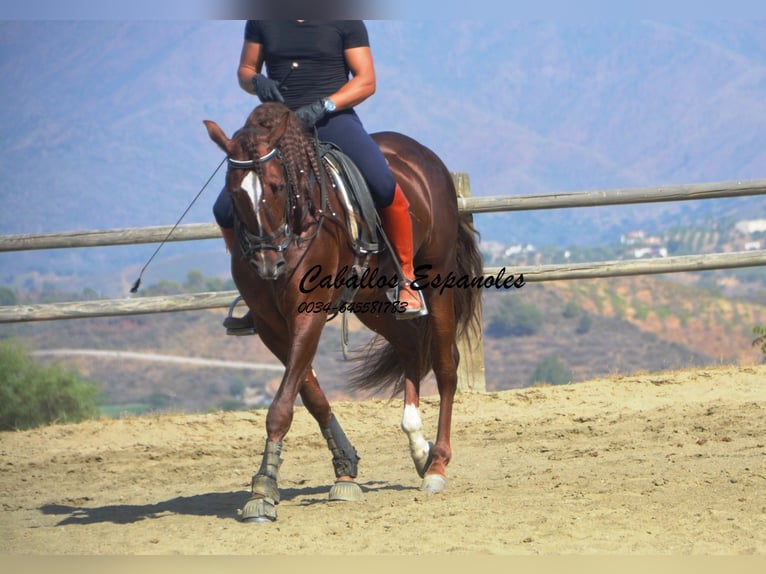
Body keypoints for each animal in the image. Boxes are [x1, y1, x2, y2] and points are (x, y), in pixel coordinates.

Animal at [204, 101, 480, 524]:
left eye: (277, 185)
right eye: (234, 192)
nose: (268, 263)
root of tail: (425, 157)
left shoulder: (309, 313)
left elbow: (282, 404)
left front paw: (263, 490)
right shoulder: (269, 325)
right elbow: (309, 393)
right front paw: (344, 468)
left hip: (438, 279)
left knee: (446, 365)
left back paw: (436, 466)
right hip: (370, 301)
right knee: (409, 347)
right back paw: (418, 446)